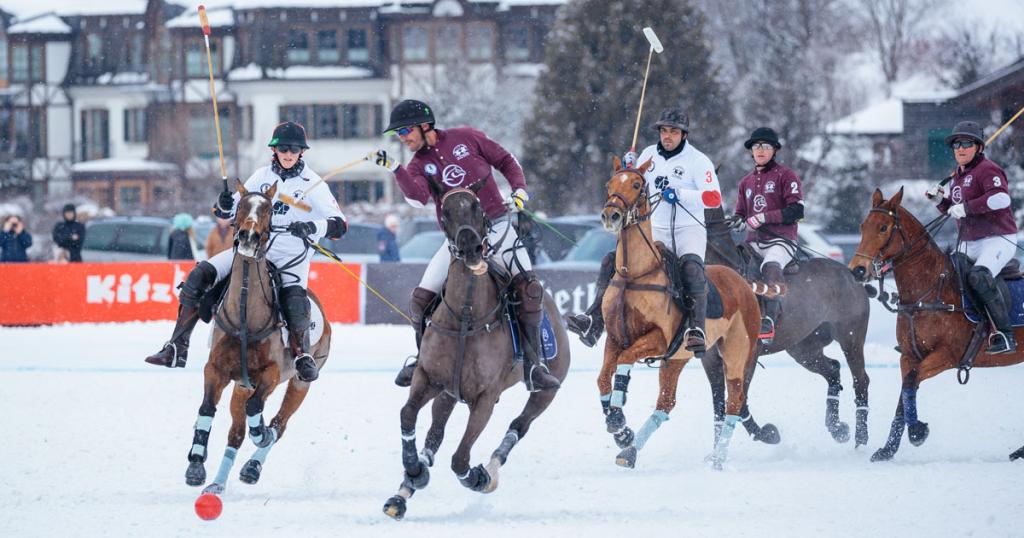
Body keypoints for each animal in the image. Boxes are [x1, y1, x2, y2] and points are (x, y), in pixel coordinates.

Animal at [182, 181, 329, 495]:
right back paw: (217, 483)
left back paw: (253, 464)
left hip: (299, 382)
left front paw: (261, 433)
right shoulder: (216, 369)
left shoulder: (271, 374)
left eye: (269, 209)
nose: (248, 237)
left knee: (279, 422)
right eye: (239, 206)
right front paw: (196, 465)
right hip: (242, 385)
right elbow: (207, 408)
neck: (246, 316)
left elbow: (258, 412)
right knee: (236, 433)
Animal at [382, 186, 573, 518]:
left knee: (519, 424)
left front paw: (478, 478)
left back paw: (492, 470)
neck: (466, 316)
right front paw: (414, 471)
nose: (471, 249)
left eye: (476, 206)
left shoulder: (484, 398)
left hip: (547, 388)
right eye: (445, 212)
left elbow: (460, 458)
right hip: (448, 392)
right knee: (435, 433)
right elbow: (408, 414)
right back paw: (403, 492)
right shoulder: (428, 378)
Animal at [598, 155, 761, 469]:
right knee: (666, 403)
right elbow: (602, 379)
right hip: (677, 359)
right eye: (609, 183)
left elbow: (623, 363)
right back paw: (629, 452)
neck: (633, 275)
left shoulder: (659, 339)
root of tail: (742, 280)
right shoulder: (615, 337)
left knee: (734, 401)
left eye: (636, 184)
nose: (611, 215)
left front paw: (618, 419)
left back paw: (718, 459)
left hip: (737, 350)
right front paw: (619, 428)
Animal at [704, 208, 872, 446]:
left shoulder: (748, 355)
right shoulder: (710, 359)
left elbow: (739, 402)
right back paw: (838, 428)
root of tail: (852, 274)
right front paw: (715, 452)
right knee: (833, 369)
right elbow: (719, 408)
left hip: (851, 337)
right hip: (803, 347)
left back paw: (861, 439)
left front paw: (768, 433)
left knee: (861, 379)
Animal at [847, 186, 1024, 459]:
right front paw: (888, 449)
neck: (926, 292)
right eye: (863, 225)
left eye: (884, 227)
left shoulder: (948, 355)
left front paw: (917, 432)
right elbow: (905, 391)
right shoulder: (909, 355)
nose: (857, 270)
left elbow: (911, 382)